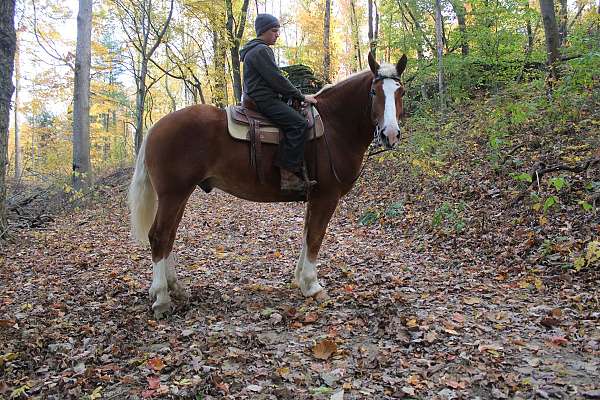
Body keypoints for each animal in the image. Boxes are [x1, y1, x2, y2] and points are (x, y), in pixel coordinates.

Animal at [126, 51, 408, 318]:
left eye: (400, 91)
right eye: (374, 91)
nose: (390, 134)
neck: (333, 126)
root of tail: (156, 127)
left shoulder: (314, 198)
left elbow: (307, 235)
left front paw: (300, 280)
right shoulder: (326, 197)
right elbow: (315, 237)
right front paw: (313, 286)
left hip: (180, 195)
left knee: (169, 236)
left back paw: (175, 288)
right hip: (173, 194)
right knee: (159, 236)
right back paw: (162, 298)